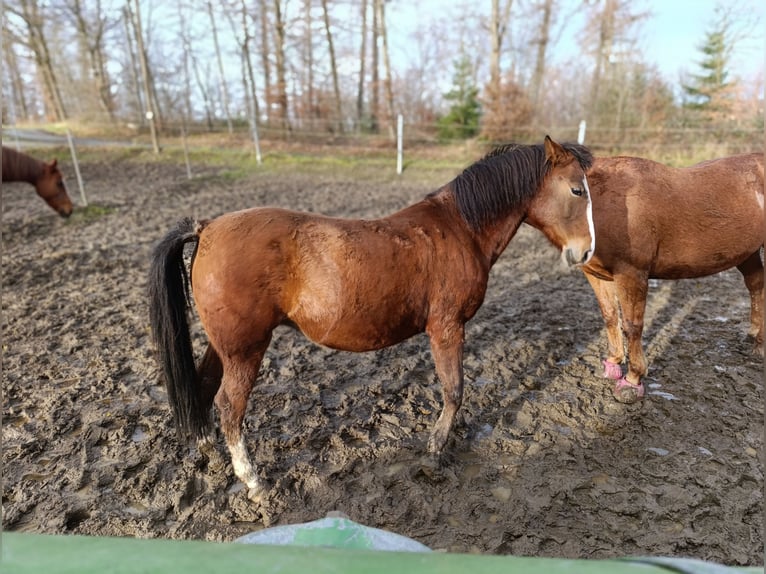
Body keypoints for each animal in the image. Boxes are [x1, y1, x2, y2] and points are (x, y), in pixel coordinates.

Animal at [148, 136, 596, 497]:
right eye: (577, 189)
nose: (586, 252)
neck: (459, 228)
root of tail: (207, 228)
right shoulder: (447, 327)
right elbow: (454, 390)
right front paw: (435, 451)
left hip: (224, 346)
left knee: (204, 387)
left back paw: (211, 453)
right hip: (246, 349)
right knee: (229, 405)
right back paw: (252, 480)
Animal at [582, 151, 764, 403]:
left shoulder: (631, 274)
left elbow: (632, 326)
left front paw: (631, 382)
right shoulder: (596, 274)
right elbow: (610, 316)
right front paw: (613, 363)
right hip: (748, 253)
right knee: (756, 285)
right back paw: (755, 338)